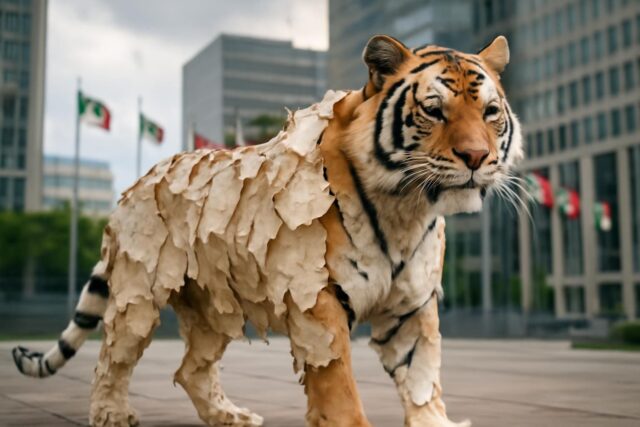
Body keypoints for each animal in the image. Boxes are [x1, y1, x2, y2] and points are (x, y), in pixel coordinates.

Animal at [12, 34, 522, 427]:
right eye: (434, 111)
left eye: (490, 112)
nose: (476, 157)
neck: (407, 207)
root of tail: (135, 187)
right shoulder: (317, 296)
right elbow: (338, 386)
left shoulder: (411, 305)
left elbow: (422, 381)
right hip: (138, 296)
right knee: (111, 361)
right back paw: (112, 414)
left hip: (212, 307)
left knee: (191, 369)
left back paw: (230, 416)